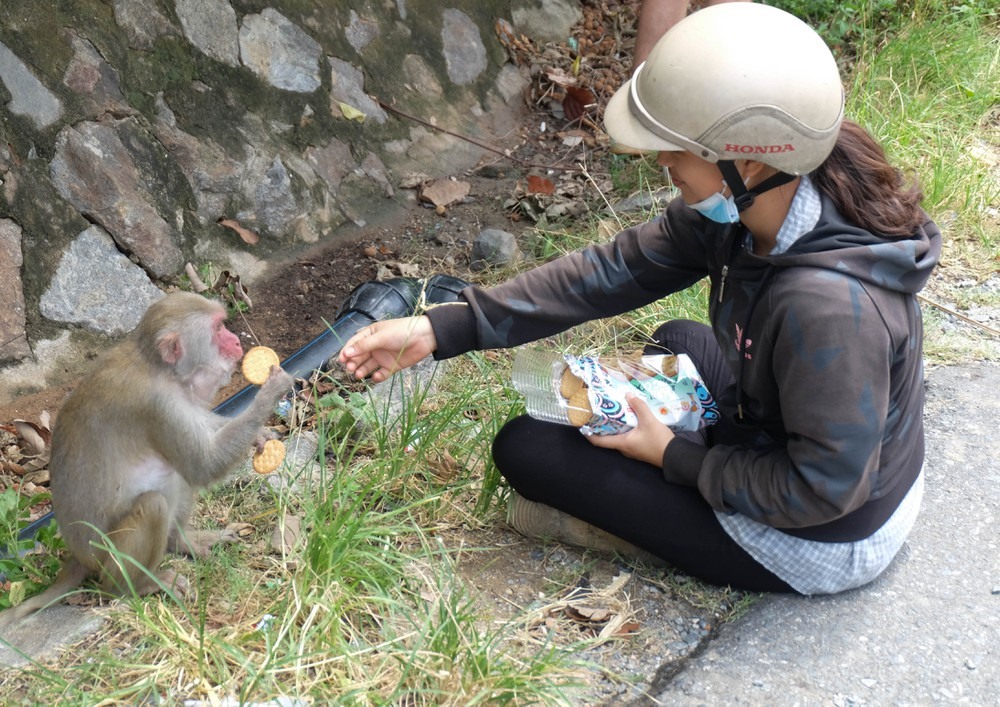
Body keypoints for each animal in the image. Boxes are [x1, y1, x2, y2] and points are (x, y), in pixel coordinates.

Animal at [0, 290, 292, 628]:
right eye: (218, 328)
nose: (234, 339)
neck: (164, 370)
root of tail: (79, 557)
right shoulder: (159, 406)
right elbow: (204, 465)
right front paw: (271, 391)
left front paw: (261, 435)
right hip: (107, 558)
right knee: (154, 503)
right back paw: (136, 587)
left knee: (175, 472)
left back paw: (181, 542)